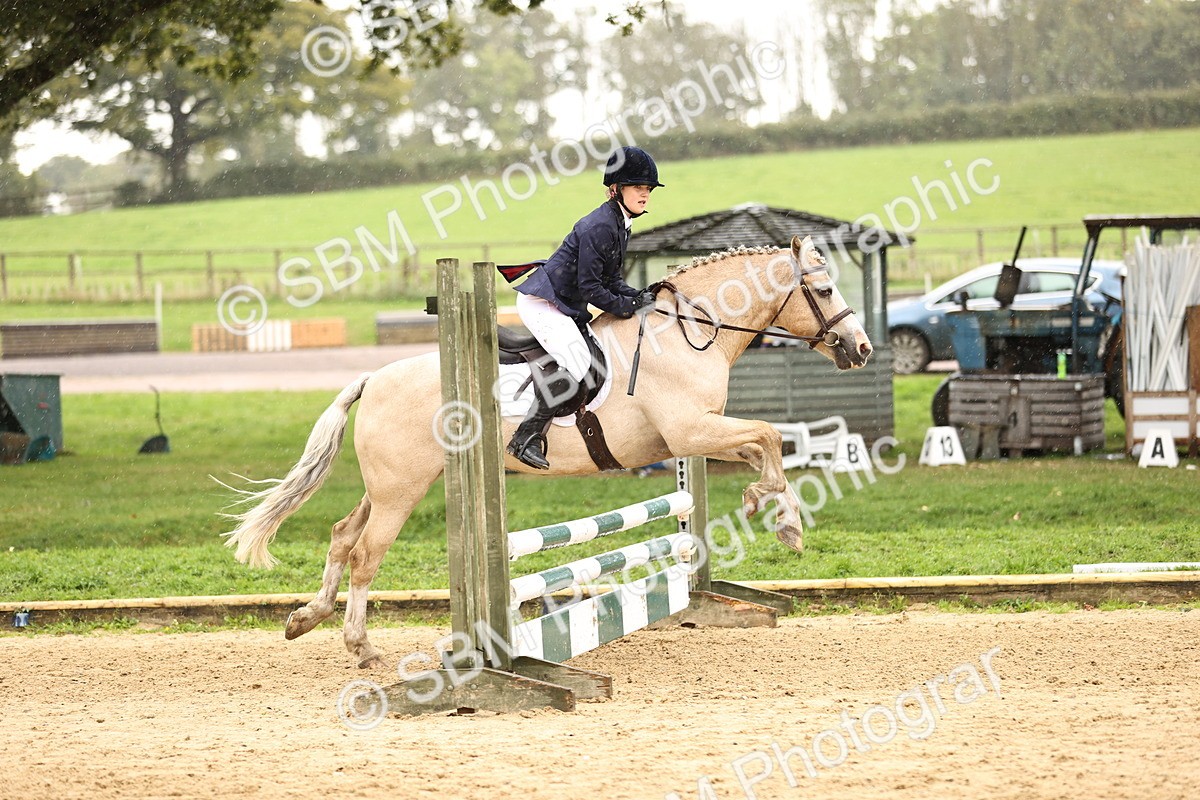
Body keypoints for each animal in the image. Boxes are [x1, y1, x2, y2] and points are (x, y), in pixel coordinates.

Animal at [222, 235, 872, 668]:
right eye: (825, 288)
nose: (860, 347)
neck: (691, 333)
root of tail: (373, 378)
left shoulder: (698, 435)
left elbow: (765, 443)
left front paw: (770, 508)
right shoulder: (690, 432)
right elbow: (767, 435)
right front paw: (784, 520)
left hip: (390, 485)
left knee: (340, 535)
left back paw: (305, 620)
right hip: (401, 489)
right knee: (365, 554)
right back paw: (361, 648)